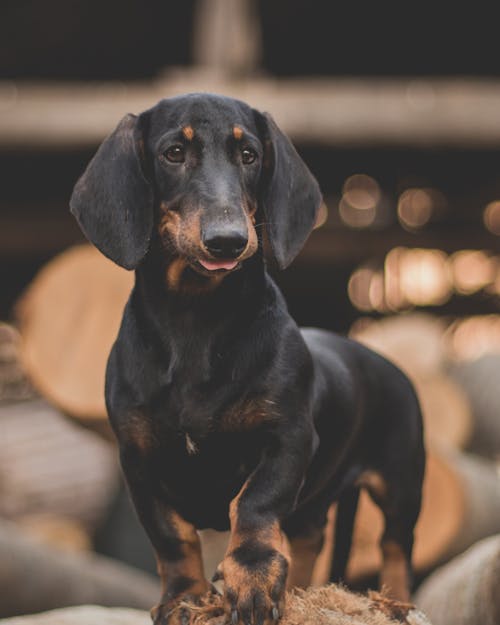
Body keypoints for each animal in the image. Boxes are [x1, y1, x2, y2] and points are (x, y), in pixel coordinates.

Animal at [68, 92, 424, 624]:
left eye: (250, 155)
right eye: (174, 153)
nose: (228, 240)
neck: (195, 318)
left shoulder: (287, 439)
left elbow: (254, 505)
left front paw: (252, 579)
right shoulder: (138, 459)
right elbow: (172, 538)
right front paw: (183, 598)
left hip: (402, 482)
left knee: (395, 545)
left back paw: (396, 602)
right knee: (310, 536)